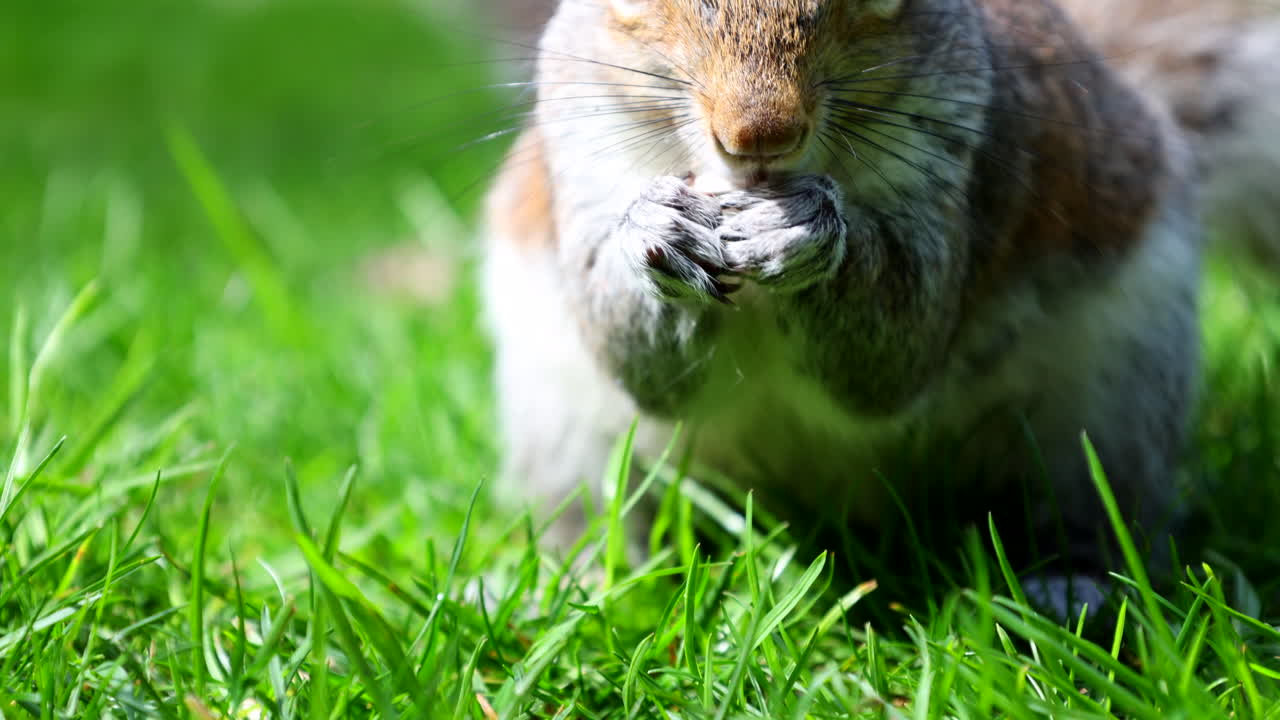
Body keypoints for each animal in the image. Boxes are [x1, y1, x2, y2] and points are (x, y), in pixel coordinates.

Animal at [480, 0, 1280, 613]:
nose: (760, 134)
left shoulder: (969, 157)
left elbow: (893, 357)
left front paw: (807, 230)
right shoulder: (583, 152)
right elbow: (643, 369)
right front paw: (655, 228)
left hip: (1111, 400)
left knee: (1095, 508)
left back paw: (1070, 584)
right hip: (564, 434)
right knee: (594, 517)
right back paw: (565, 586)